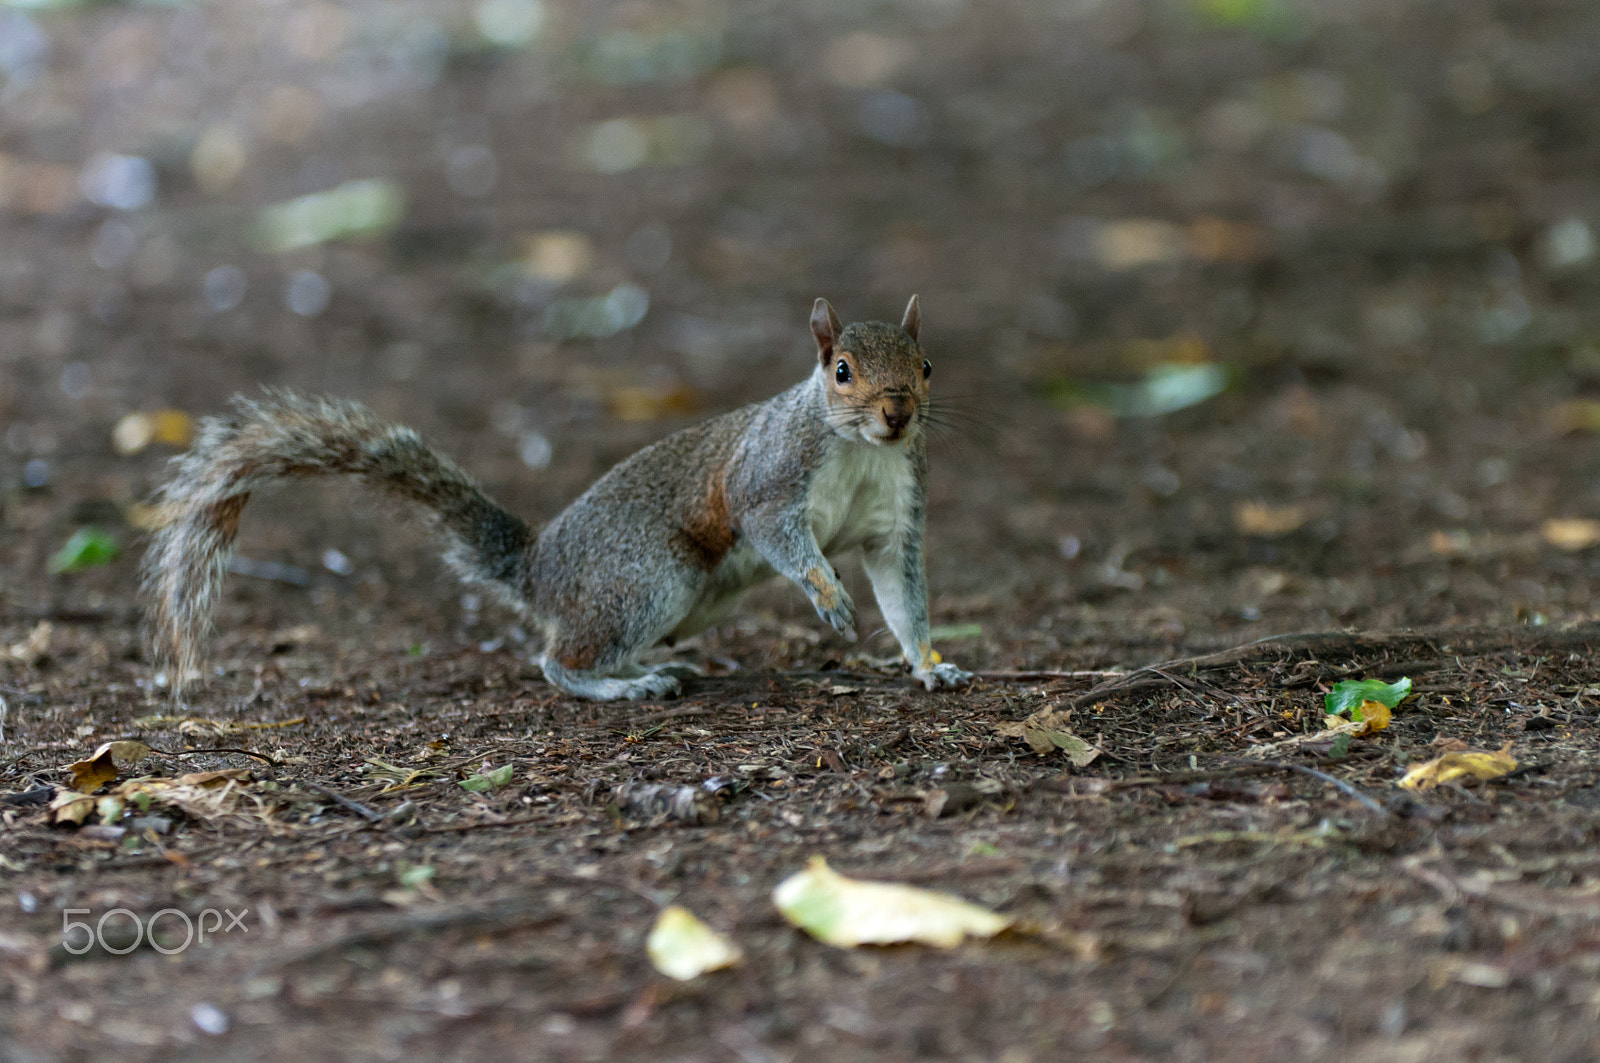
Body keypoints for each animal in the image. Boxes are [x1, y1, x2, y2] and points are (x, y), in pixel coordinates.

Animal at [142, 295, 974, 701]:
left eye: (929, 365)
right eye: (841, 370)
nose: (898, 413)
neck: (863, 451)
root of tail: (537, 567)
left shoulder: (894, 519)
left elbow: (902, 596)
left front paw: (929, 666)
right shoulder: (768, 480)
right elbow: (780, 534)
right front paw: (827, 595)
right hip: (648, 576)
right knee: (556, 658)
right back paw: (624, 685)